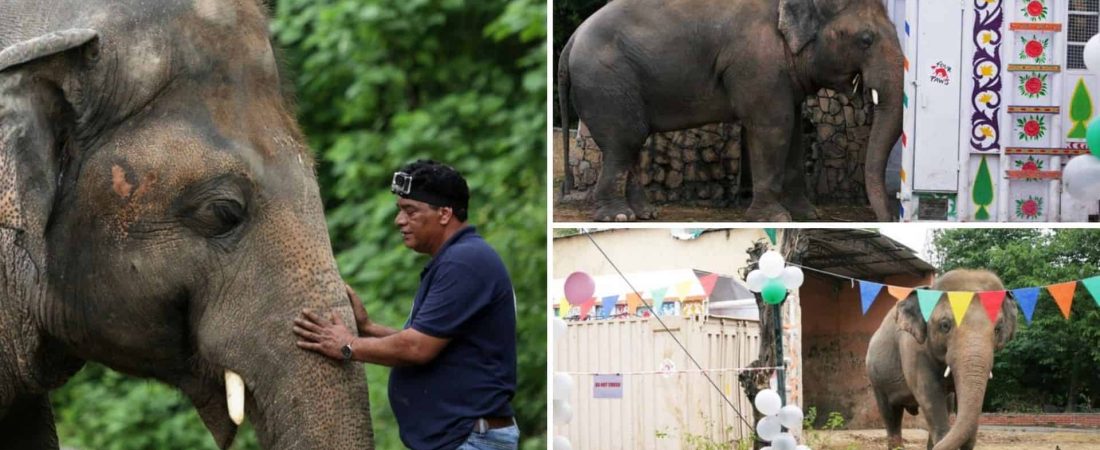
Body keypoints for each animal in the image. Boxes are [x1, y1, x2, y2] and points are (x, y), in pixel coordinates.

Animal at [558, 0, 902, 220]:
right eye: (866, 39)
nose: (887, 218)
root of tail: (571, 39)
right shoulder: (756, 60)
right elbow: (773, 125)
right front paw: (775, 218)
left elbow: (792, 130)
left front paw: (808, 214)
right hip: (606, 80)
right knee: (624, 141)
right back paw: (618, 216)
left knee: (631, 142)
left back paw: (645, 213)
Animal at [862, 268, 1016, 446]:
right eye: (945, 325)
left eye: (998, 328)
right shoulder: (912, 348)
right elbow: (930, 394)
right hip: (876, 379)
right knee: (890, 415)